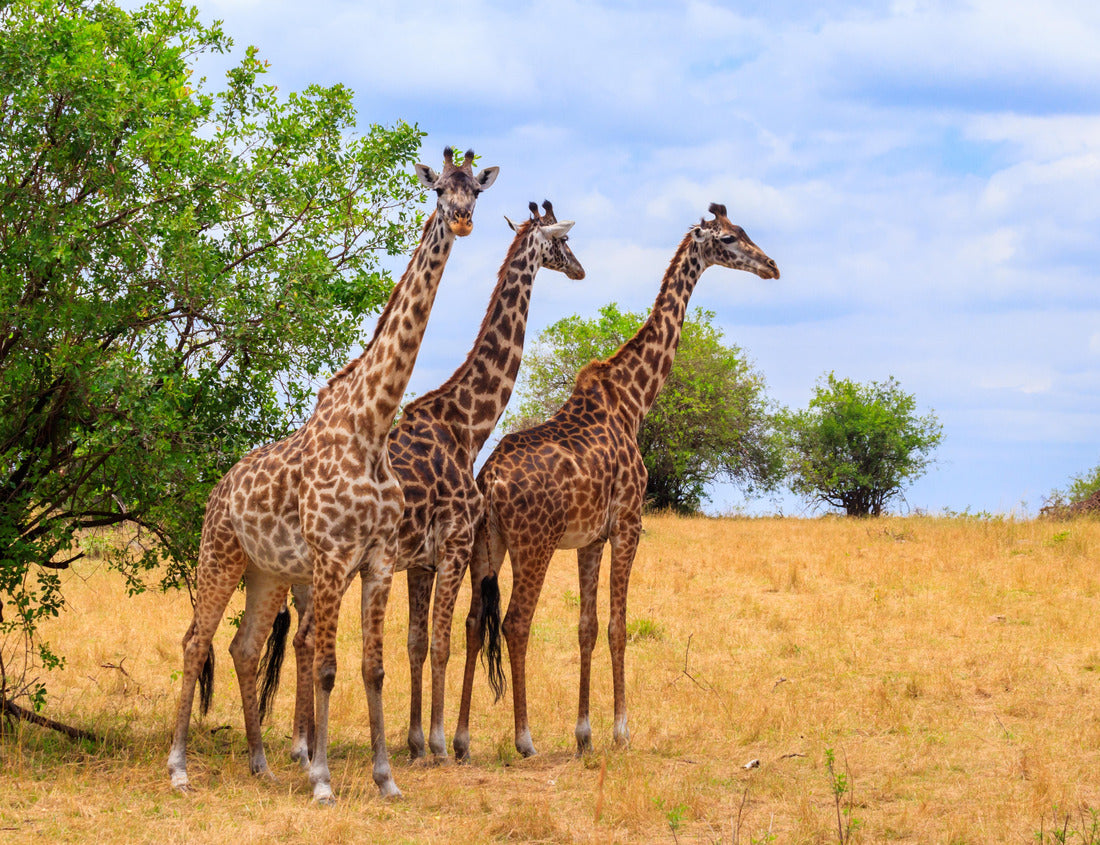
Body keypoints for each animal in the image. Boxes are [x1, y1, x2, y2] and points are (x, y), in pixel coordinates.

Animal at [165, 147, 499, 804]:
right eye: (439, 188)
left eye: (477, 189)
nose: (463, 220)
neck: (371, 426)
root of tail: (220, 488)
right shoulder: (330, 556)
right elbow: (324, 665)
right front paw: (320, 778)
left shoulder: (375, 560)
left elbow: (372, 667)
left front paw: (386, 779)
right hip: (219, 555)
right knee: (196, 641)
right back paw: (179, 768)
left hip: (266, 572)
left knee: (243, 647)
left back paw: (261, 764)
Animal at [270, 202, 585, 764]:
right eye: (563, 243)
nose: (581, 270)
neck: (467, 425)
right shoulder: (454, 545)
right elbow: (440, 642)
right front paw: (440, 742)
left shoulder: (419, 560)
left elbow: (416, 643)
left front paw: (414, 740)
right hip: (334, 564)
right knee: (307, 638)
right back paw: (305, 748)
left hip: (309, 573)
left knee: (302, 638)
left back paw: (302, 743)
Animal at [453, 204, 778, 761]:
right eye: (730, 239)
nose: (772, 266)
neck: (634, 399)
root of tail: (490, 481)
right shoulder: (628, 522)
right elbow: (618, 625)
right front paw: (622, 730)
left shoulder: (589, 539)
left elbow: (586, 627)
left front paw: (584, 734)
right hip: (533, 544)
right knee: (516, 622)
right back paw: (523, 738)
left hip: (486, 544)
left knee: (475, 622)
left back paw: (458, 739)